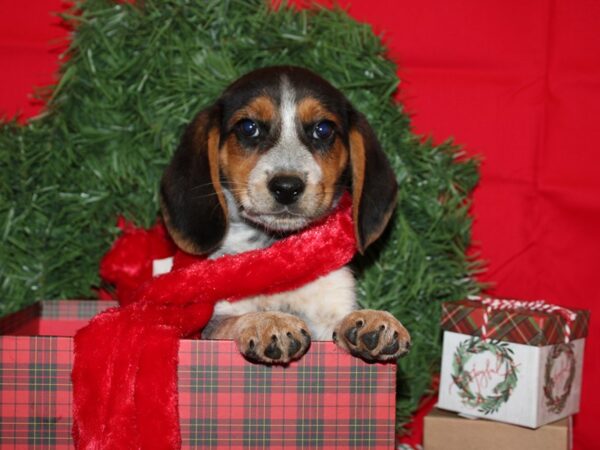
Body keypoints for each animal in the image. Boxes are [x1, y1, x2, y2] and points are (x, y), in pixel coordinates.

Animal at [162, 65, 410, 364]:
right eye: (248, 127)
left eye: (323, 129)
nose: (287, 187)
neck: (280, 253)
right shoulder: (209, 323)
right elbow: (232, 320)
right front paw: (269, 321)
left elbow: (341, 320)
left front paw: (370, 319)